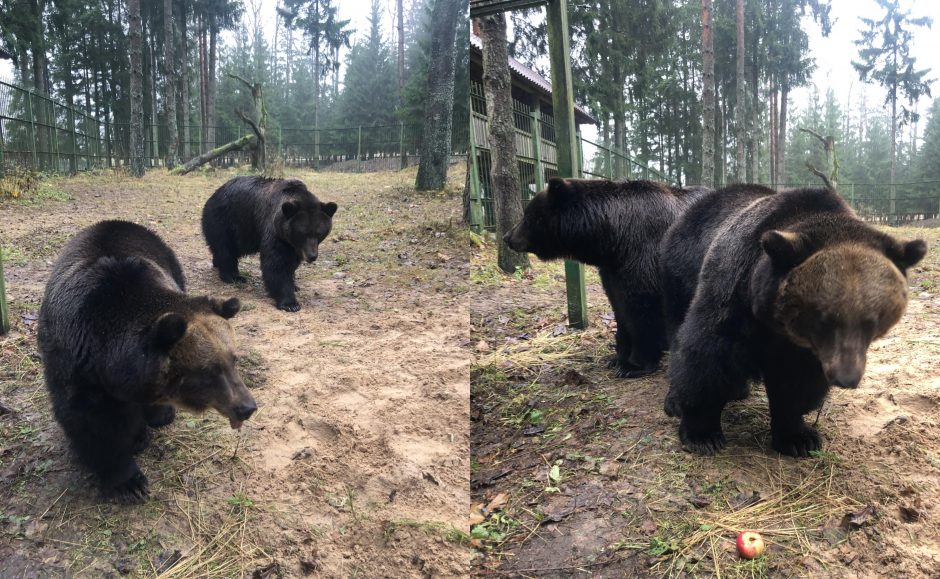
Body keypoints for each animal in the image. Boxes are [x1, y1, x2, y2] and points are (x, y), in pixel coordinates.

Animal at [38, 222, 258, 502]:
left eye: (233, 360)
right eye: (208, 371)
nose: (246, 407)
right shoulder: (76, 367)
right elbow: (93, 424)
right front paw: (128, 482)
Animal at [202, 177, 338, 312]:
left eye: (319, 233)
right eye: (302, 233)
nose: (312, 256)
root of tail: (214, 195)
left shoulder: (294, 245)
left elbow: (291, 263)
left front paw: (294, 285)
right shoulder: (274, 231)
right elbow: (277, 264)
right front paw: (290, 303)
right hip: (226, 221)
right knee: (226, 248)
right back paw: (233, 276)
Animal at [504, 177, 708, 378]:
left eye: (527, 216)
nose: (507, 236)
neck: (614, 240)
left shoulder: (645, 258)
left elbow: (644, 310)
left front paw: (635, 364)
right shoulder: (613, 271)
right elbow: (620, 308)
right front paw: (617, 357)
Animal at [660, 186, 924, 458]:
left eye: (873, 321)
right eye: (824, 317)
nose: (846, 377)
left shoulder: (805, 349)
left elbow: (796, 382)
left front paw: (797, 437)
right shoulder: (733, 291)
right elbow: (708, 356)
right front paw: (702, 433)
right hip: (680, 274)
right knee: (677, 331)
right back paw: (675, 399)